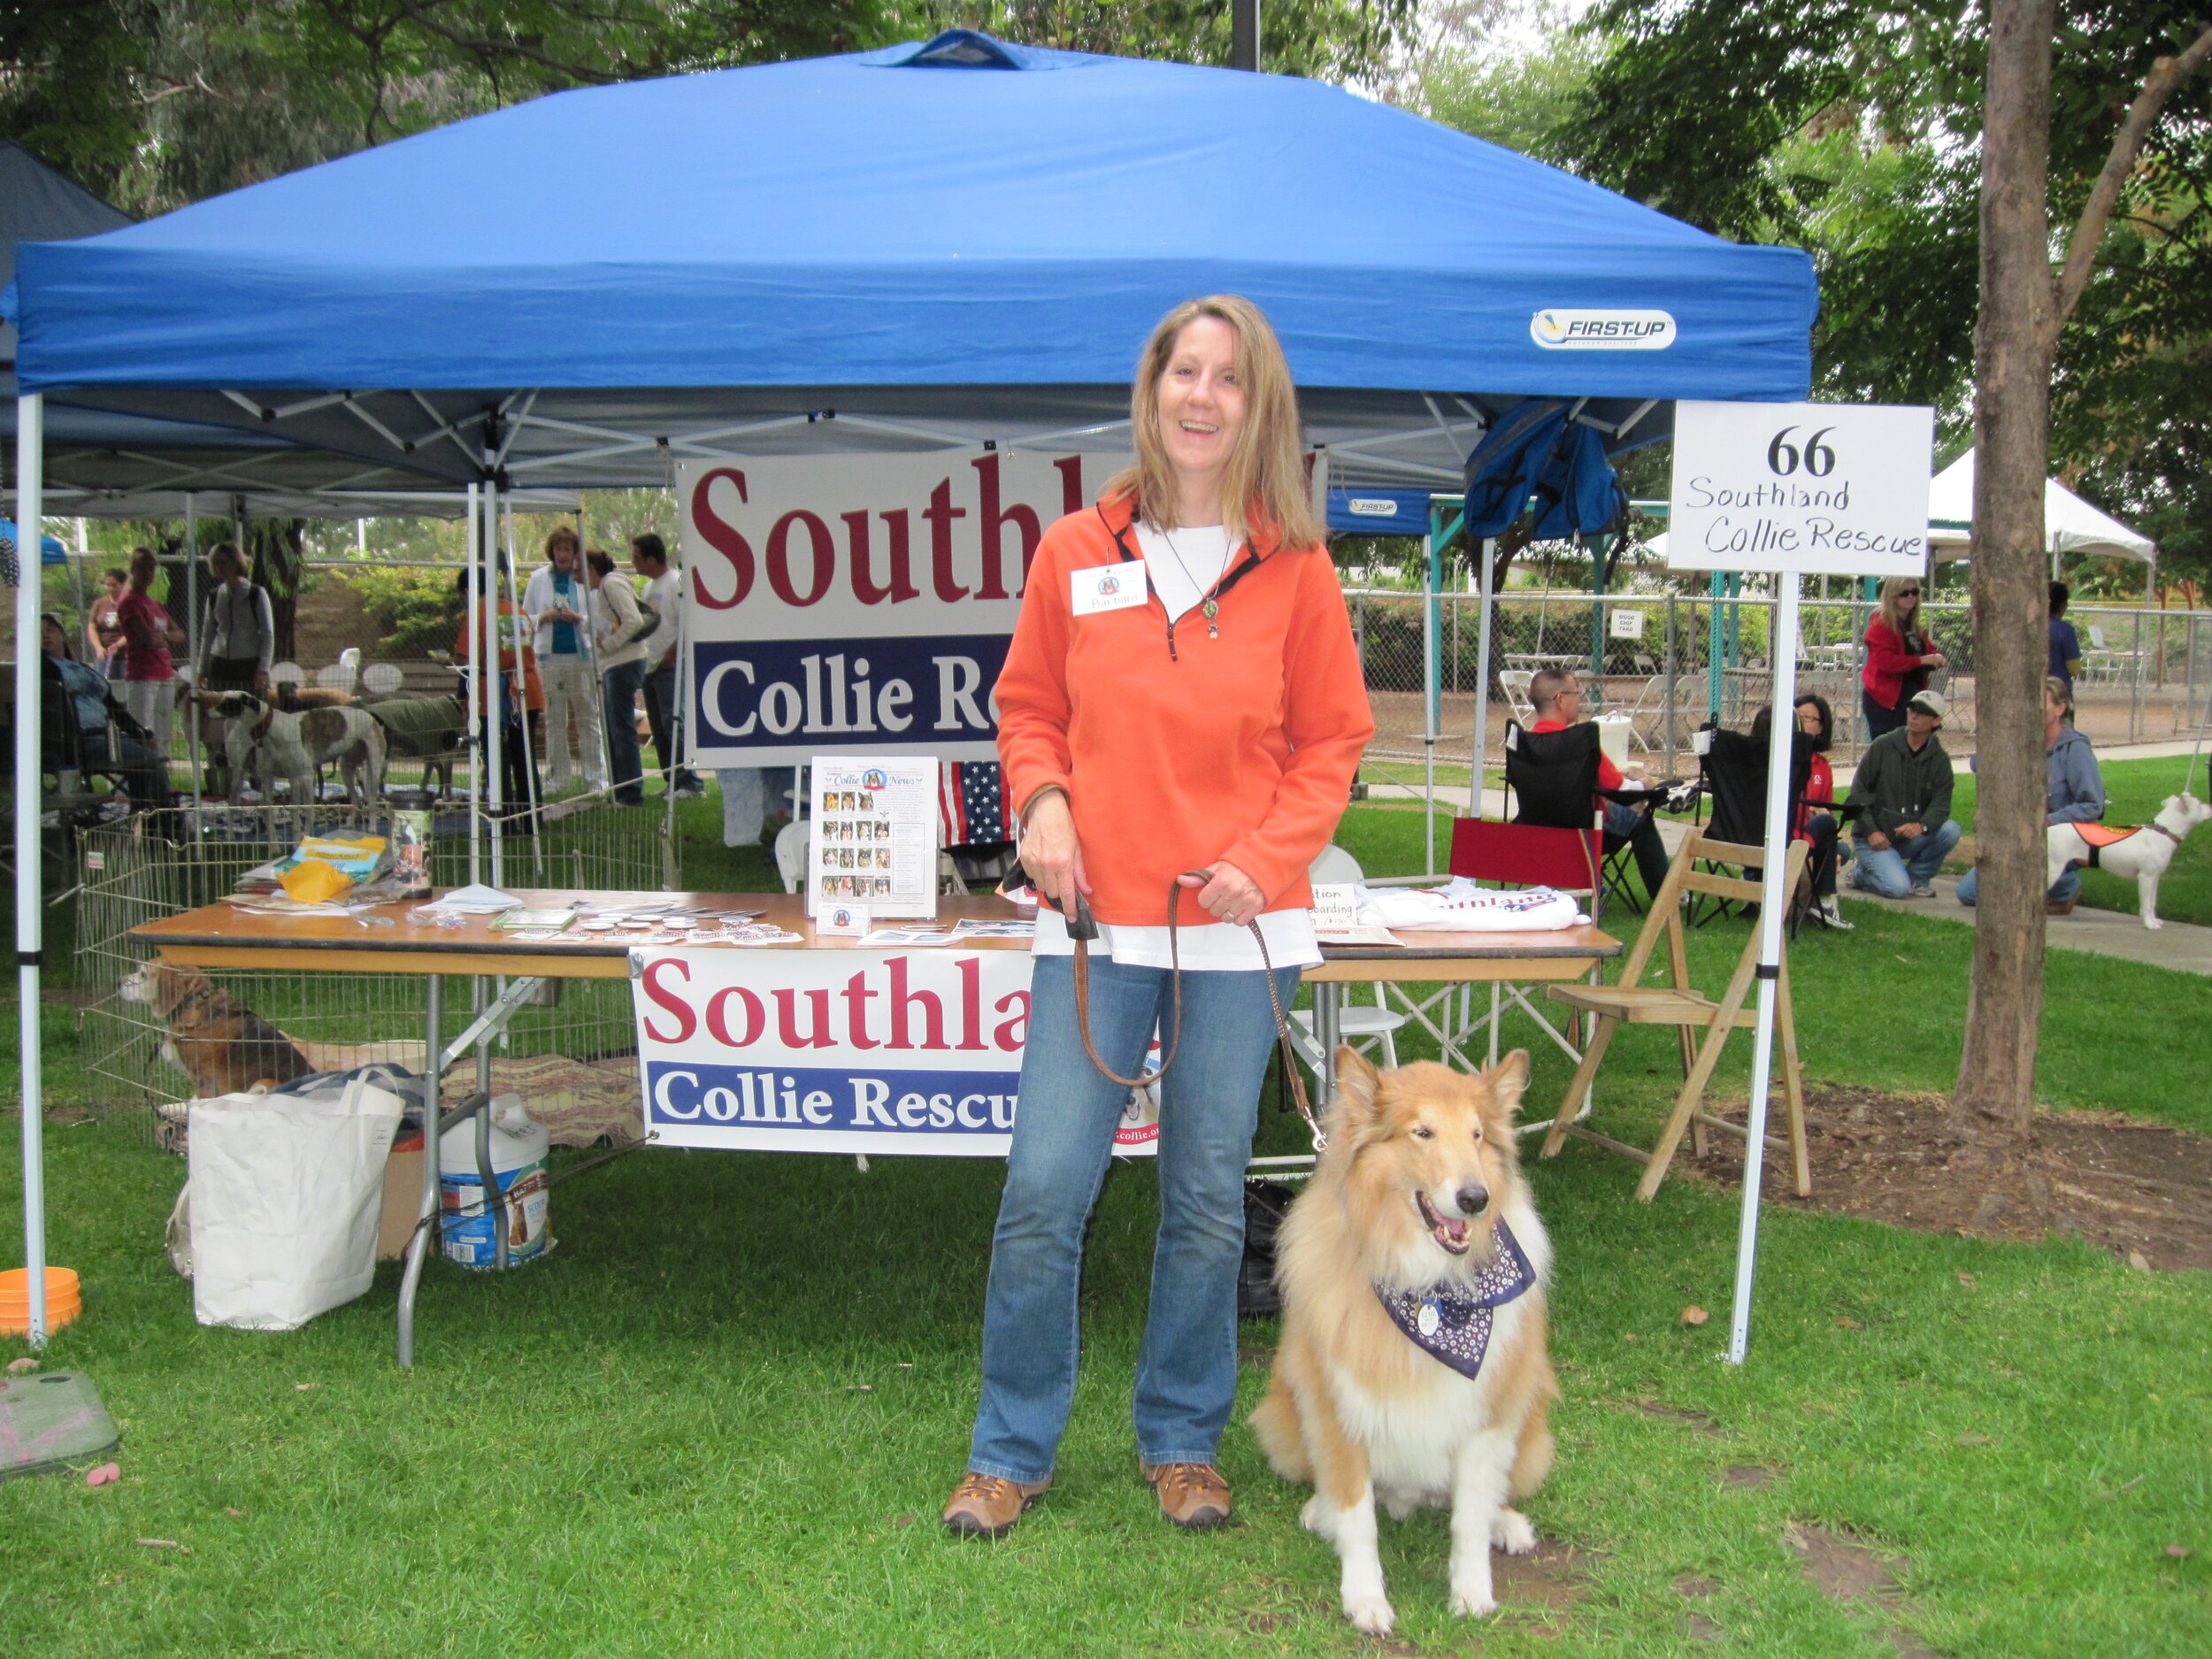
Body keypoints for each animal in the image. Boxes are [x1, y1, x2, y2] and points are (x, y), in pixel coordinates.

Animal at [1256, 1053, 1566, 1637]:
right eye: (1422, 1132)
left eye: (1477, 1135)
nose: (1475, 1198)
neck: (1429, 1288)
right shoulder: (1338, 1408)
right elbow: (1359, 1520)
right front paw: (1365, 1602)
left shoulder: (1487, 1415)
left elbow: (1469, 1519)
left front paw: (1472, 1594)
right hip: (1286, 1414)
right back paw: (1320, 1511)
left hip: (1531, 1423)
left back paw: (1508, 1524)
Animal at [2053, 796, 2212, 929]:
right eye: (2200, 803)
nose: (2210, 805)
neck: (2163, 832)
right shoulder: (2146, 877)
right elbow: (2146, 904)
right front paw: (2149, 924)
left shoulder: (2155, 877)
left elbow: (2152, 902)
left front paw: (2154, 920)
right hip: (2054, 868)